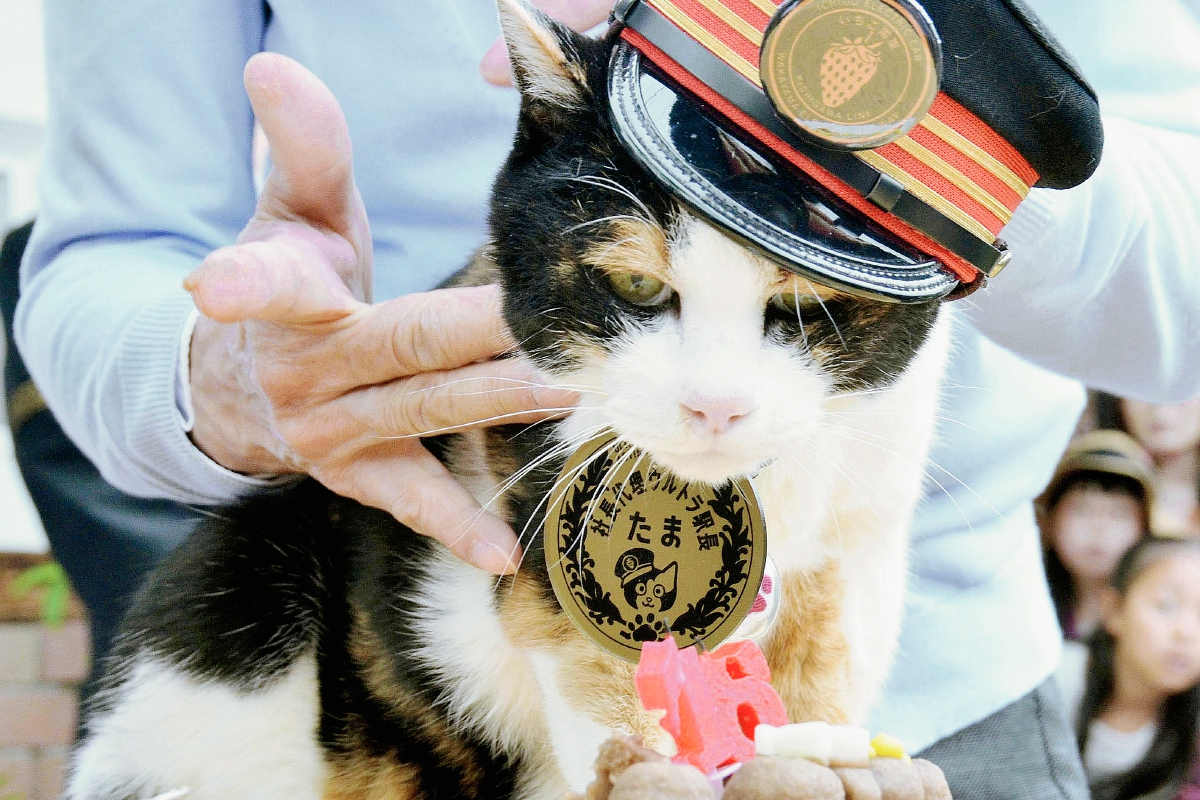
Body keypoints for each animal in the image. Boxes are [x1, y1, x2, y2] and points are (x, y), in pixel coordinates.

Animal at [68, 3, 945, 796]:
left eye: (803, 307)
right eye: (637, 286)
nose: (716, 405)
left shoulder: (856, 526)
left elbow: (821, 655)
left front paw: (818, 746)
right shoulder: (537, 479)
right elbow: (598, 651)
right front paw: (650, 760)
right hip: (235, 589)